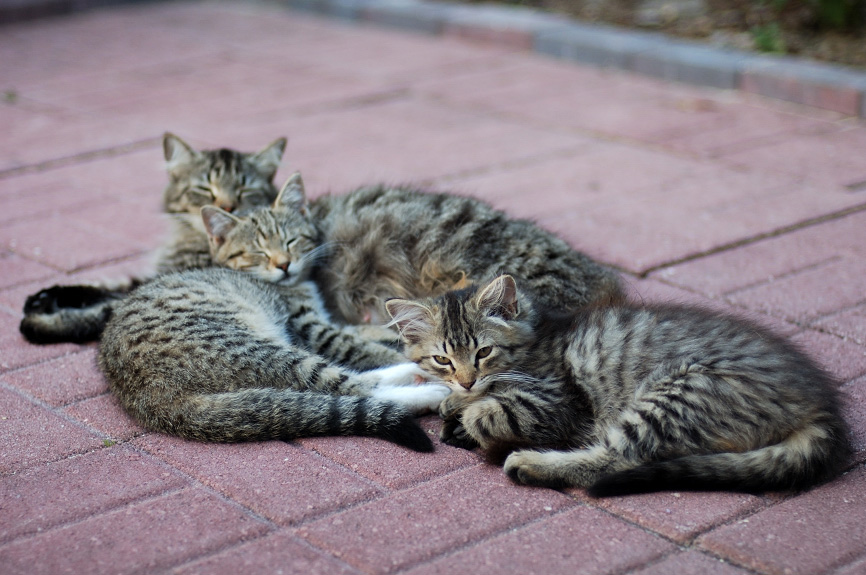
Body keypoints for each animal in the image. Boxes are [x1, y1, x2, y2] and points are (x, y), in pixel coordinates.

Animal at [20, 133, 286, 344]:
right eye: (204, 189)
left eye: (245, 191)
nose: (228, 207)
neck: (189, 236)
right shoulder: (156, 277)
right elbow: (103, 285)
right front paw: (43, 297)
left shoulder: (170, 281)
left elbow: (102, 309)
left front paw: (40, 324)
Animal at [99, 173, 446, 452]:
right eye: (258, 252)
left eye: (291, 241)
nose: (283, 264)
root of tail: (148, 396)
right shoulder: (313, 330)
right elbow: (359, 345)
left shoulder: (329, 321)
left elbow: (363, 330)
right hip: (257, 349)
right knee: (350, 386)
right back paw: (428, 383)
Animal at [386, 274, 852, 496]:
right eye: (442, 360)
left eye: (483, 352)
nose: (466, 379)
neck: (536, 339)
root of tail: (819, 401)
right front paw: (454, 401)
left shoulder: (558, 403)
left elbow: (489, 412)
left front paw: (469, 410)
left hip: (677, 394)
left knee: (614, 459)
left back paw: (532, 464)